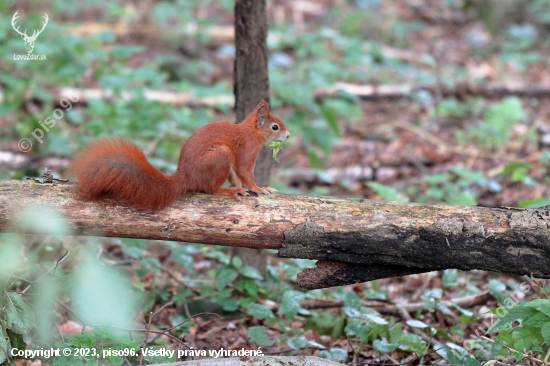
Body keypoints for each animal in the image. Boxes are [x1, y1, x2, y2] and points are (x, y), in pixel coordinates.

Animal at [70, 100, 288, 210]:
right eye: (275, 127)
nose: (288, 135)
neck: (250, 132)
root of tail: (185, 176)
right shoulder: (246, 151)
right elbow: (245, 172)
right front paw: (260, 188)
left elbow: (235, 175)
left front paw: (244, 188)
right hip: (221, 154)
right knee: (210, 189)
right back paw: (227, 191)